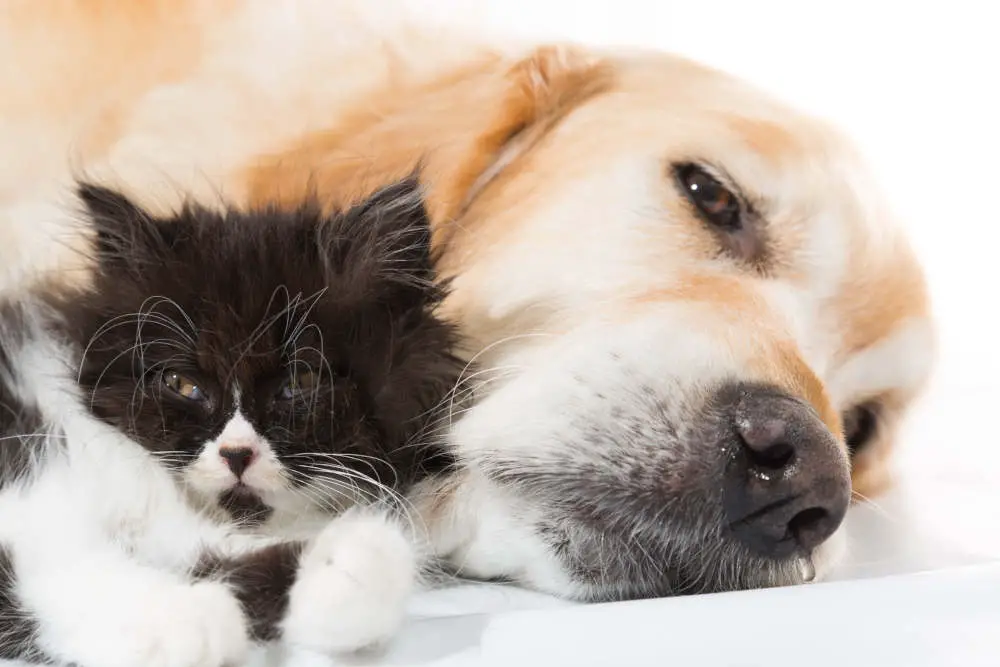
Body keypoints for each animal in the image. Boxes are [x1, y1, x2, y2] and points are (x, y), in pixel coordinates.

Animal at [0, 179, 460, 667]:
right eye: (182, 384)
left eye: (299, 382)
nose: (236, 454)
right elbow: (57, 558)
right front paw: (185, 618)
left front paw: (345, 566)